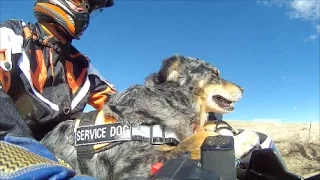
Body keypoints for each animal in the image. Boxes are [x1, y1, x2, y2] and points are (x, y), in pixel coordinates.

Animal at [40, 54, 250, 179]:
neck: (173, 100)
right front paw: (242, 139)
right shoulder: (132, 167)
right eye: (215, 74)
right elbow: (193, 140)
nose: (243, 88)